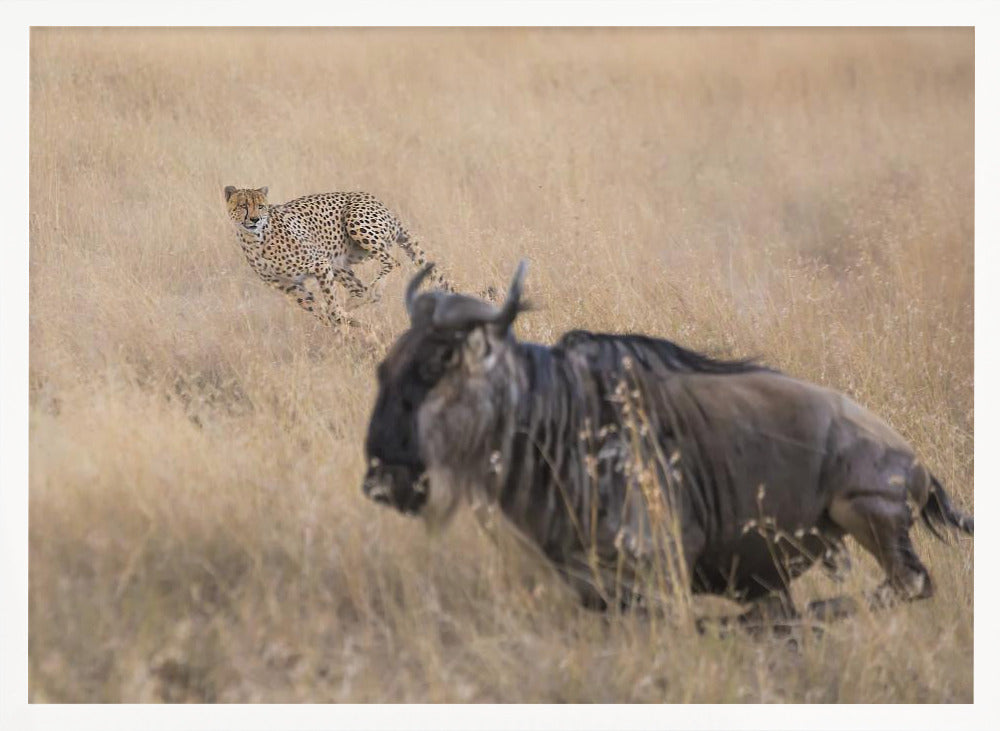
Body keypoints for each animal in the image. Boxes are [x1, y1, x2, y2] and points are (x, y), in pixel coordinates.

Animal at [224, 186, 453, 327]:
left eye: (260, 206)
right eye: (243, 206)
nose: (255, 219)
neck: (255, 239)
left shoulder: (320, 264)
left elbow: (332, 307)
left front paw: (343, 327)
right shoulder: (289, 286)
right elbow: (320, 311)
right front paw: (345, 328)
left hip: (355, 223)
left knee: (391, 262)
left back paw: (372, 291)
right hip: (339, 263)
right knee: (361, 288)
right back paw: (359, 303)